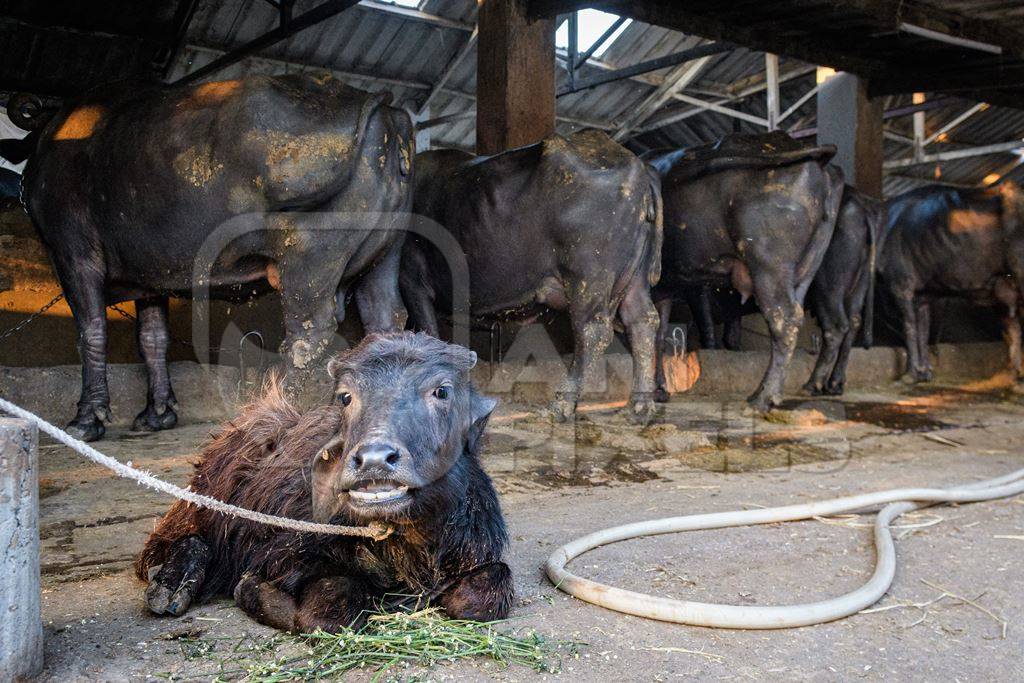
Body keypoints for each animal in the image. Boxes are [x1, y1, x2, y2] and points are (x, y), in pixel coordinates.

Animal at [14, 73, 411, 438]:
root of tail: (377, 104)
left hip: (311, 257)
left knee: (307, 334)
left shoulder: (73, 253)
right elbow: (153, 339)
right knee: (385, 319)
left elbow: (92, 330)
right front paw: (157, 413)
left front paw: (86, 419)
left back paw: (276, 413)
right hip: (384, 256)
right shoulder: (150, 277)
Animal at [395, 130, 659, 419]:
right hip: (635, 278)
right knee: (642, 321)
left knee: (592, 331)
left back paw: (561, 404)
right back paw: (639, 406)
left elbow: (426, 333)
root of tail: (636, 164)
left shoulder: (412, 281)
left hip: (588, 276)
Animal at [647, 133, 839, 411]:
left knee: (785, 319)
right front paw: (659, 390)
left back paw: (763, 398)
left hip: (769, 265)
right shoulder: (662, 290)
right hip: (807, 267)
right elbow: (658, 334)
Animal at [880, 183, 1024, 385]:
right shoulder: (922, 294)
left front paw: (910, 374)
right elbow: (922, 329)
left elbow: (909, 326)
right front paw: (924, 372)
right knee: (1014, 329)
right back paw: (1012, 374)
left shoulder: (901, 285)